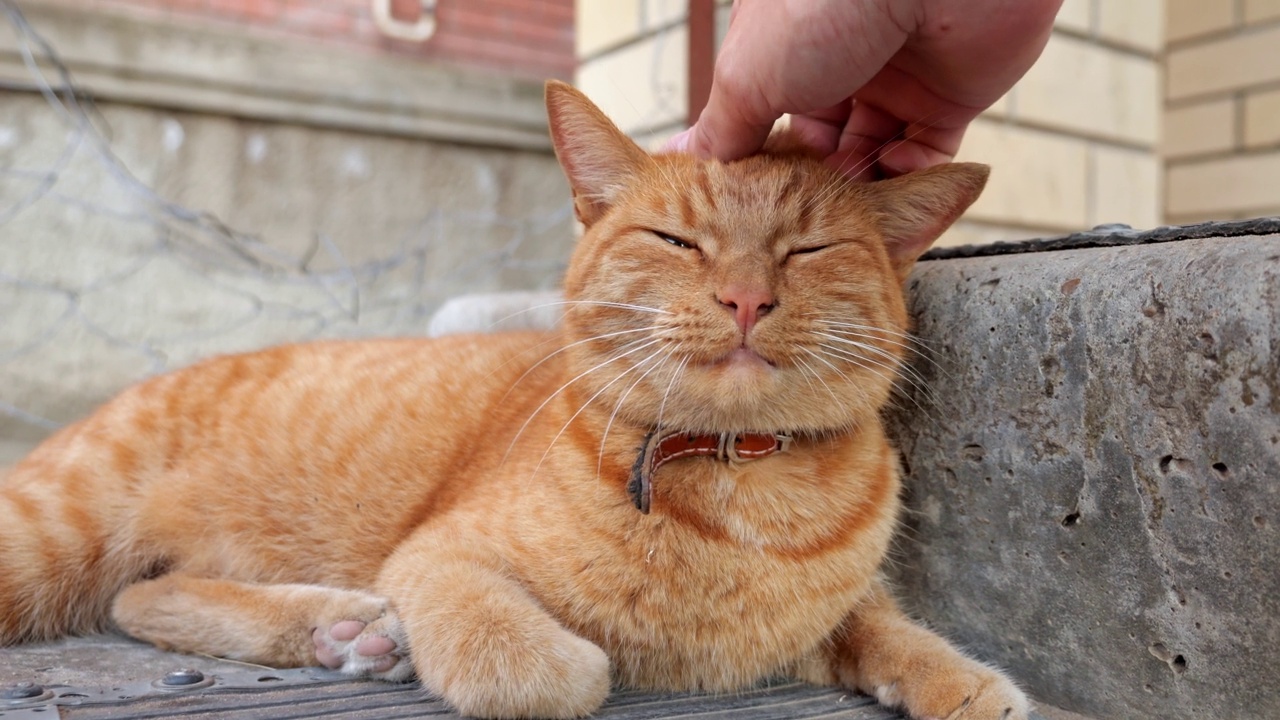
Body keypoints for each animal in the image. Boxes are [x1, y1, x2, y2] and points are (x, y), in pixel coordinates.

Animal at [0, 81, 1018, 712]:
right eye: (677, 241)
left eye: (810, 251)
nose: (744, 298)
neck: (739, 483)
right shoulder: (439, 559)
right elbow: (540, 668)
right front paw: (568, 657)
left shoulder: (834, 613)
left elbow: (887, 625)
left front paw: (961, 681)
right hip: (45, 534)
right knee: (129, 596)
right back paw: (351, 628)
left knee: (141, 596)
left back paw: (342, 629)